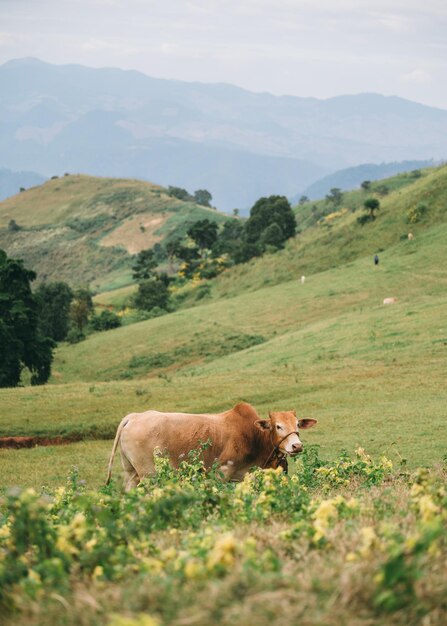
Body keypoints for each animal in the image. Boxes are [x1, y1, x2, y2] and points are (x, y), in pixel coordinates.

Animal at [106, 400, 316, 488]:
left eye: (297, 425)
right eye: (278, 426)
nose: (296, 446)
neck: (255, 437)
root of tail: (134, 416)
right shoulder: (222, 472)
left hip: (131, 472)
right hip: (150, 474)